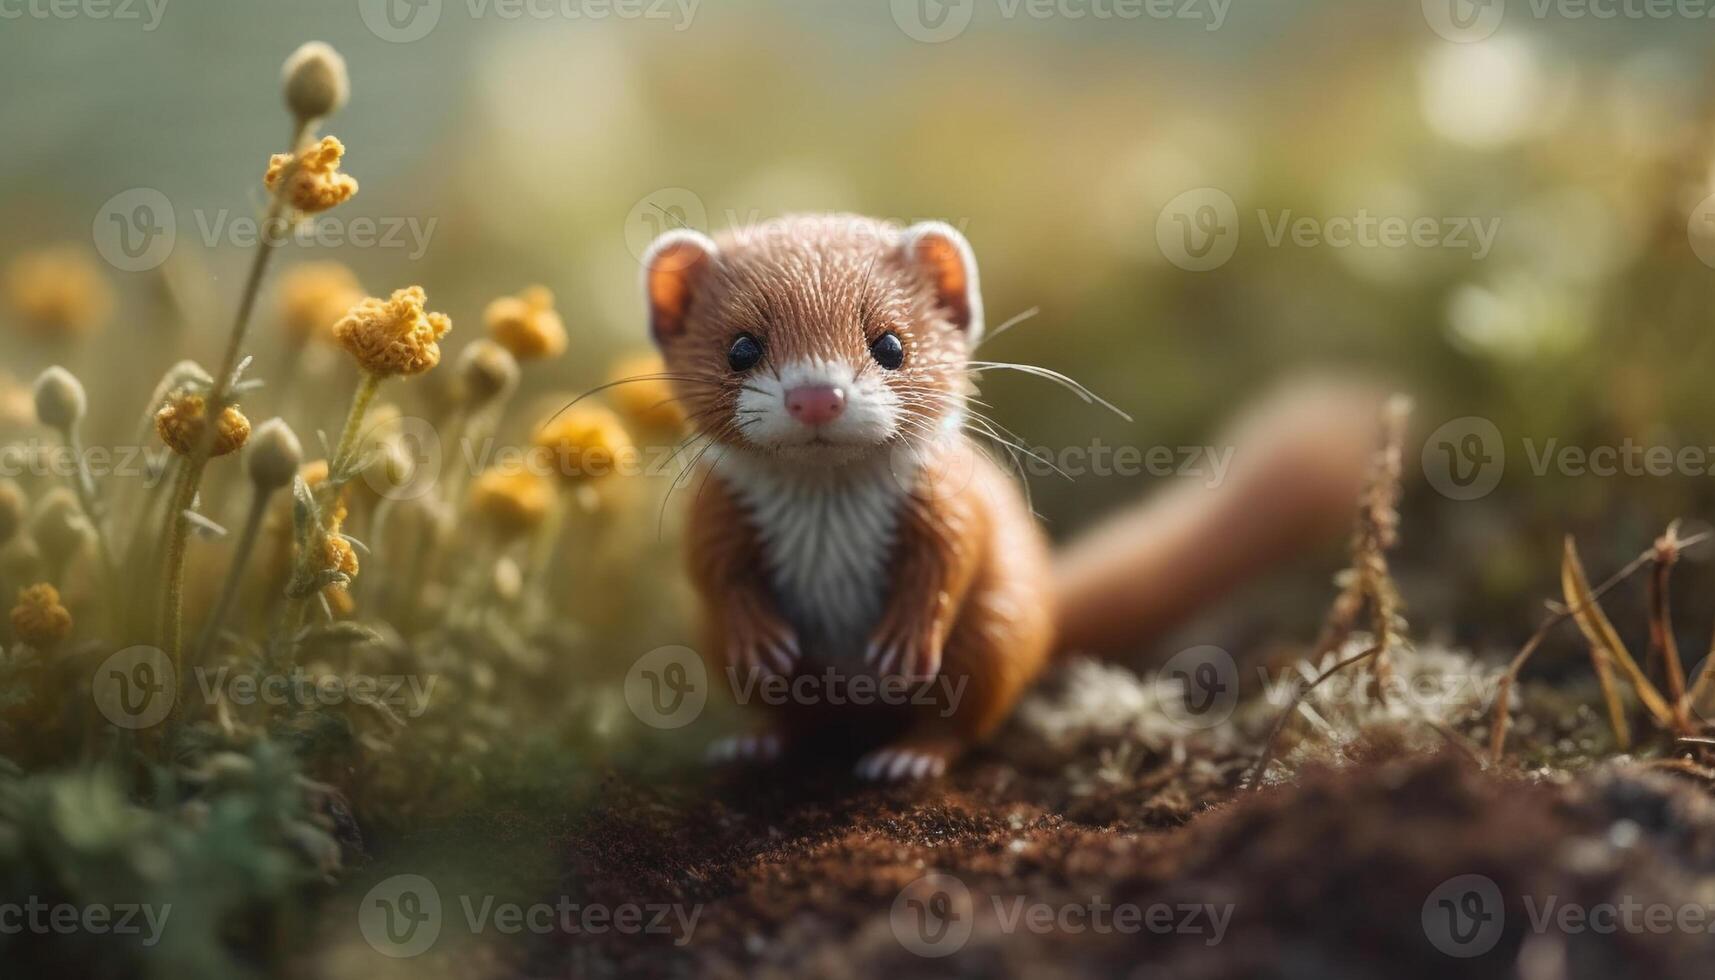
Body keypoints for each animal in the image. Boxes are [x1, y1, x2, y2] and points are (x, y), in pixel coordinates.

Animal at [644, 212, 1378, 782]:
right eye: (741, 346)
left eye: (890, 343)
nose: (816, 396)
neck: (828, 516)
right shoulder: (713, 513)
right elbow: (711, 569)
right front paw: (760, 639)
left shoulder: (950, 501)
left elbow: (952, 556)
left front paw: (905, 639)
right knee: (797, 720)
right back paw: (755, 744)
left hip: (994, 630)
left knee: (963, 719)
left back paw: (906, 757)